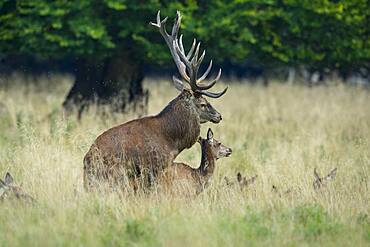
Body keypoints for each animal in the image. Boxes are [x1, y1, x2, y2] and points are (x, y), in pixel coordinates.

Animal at [84, 10, 227, 190]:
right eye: (202, 104)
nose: (219, 115)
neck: (172, 142)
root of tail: (87, 162)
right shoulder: (154, 166)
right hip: (118, 175)